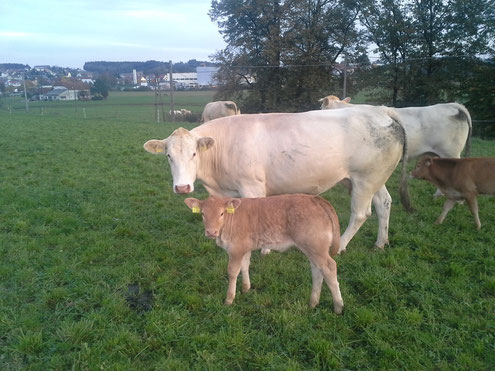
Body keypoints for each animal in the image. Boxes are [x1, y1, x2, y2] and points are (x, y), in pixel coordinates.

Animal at [143, 106, 410, 254]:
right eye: (168, 156)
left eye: (194, 154)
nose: (182, 187)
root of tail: (381, 110)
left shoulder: (251, 186)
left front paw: (264, 249)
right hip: (375, 177)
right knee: (384, 204)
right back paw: (381, 242)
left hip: (365, 178)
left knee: (361, 213)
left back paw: (342, 244)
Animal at [184, 195, 342, 314]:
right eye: (202, 213)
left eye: (222, 213)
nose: (211, 232)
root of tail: (315, 198)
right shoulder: (245, 248)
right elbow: (245, 266)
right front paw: (246, 288)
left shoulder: (235, 249)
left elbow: (233, 272)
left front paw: (229, 299)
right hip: (313, 249)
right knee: (317, 271)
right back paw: (313, 303)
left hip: (315, 247)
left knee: (330, 267)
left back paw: (338, 307)